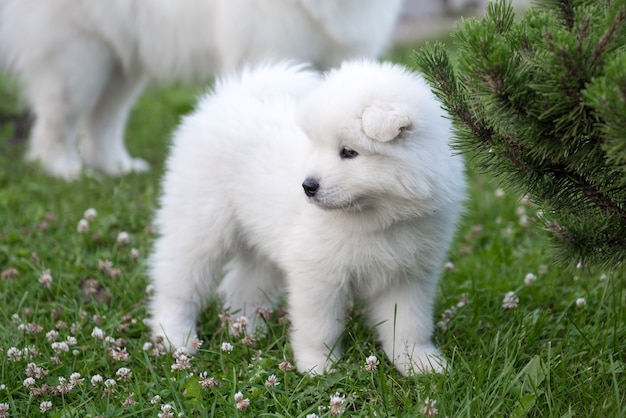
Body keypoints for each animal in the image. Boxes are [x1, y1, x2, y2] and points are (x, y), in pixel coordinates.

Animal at [0, 0, 400, 178]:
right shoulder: (271, 52)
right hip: (79, 63)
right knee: (54, 126)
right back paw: (67, 170)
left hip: (121, 66)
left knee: (102, 123)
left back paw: (118, 167)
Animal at [149, 58, 466, 376]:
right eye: (316, 145)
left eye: (348, 151)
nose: (307, 186)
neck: (377, 218)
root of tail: (229, 96)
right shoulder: (318, 273)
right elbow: (320, 327)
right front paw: (319, 367)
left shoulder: (409, 275)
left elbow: (410, 325)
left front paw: (419, 363)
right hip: (200, 223)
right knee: (177, 283)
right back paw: (176, 338)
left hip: (262, 243)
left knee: (241, 286)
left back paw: (247, 331)